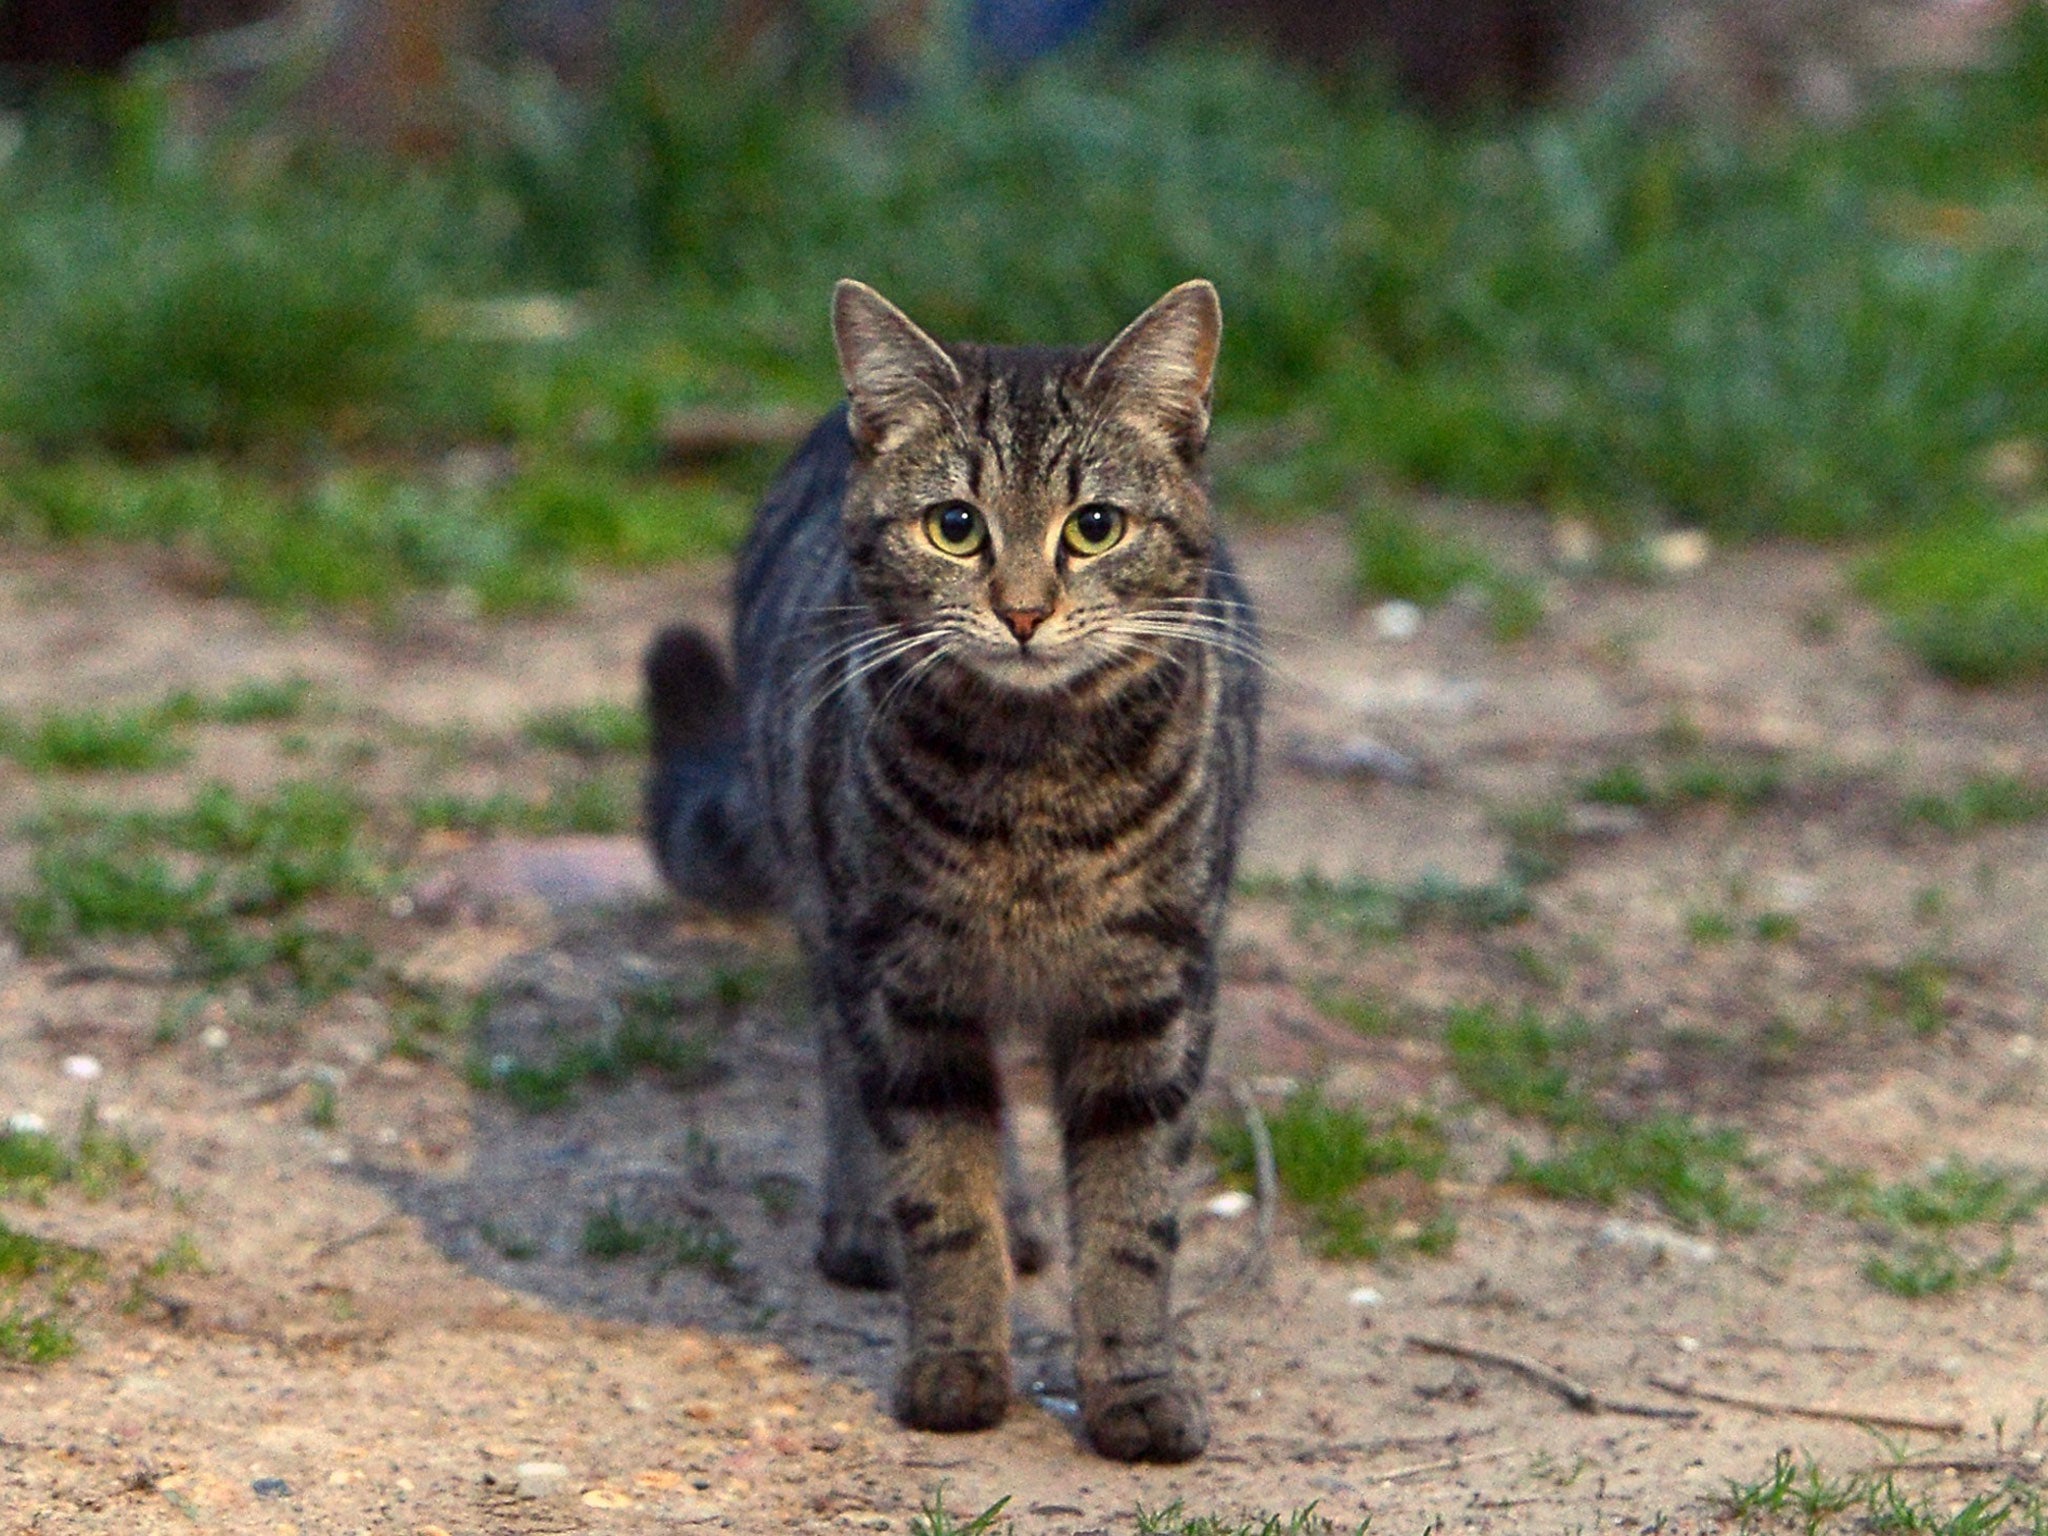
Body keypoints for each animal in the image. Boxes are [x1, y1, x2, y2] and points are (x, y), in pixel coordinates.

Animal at [647, 280, 1261, 1466]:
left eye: (1095, 526)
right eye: (955, 526)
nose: (1022, 611)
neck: (1035, 792)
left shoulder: (1154, 992)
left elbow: (1132, 1218)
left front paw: (1135, 1389)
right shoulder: (905, 982)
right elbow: (942, 1193)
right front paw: (956, 1365)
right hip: (829, 900)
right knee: (842, 1060)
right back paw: (862, 1221)